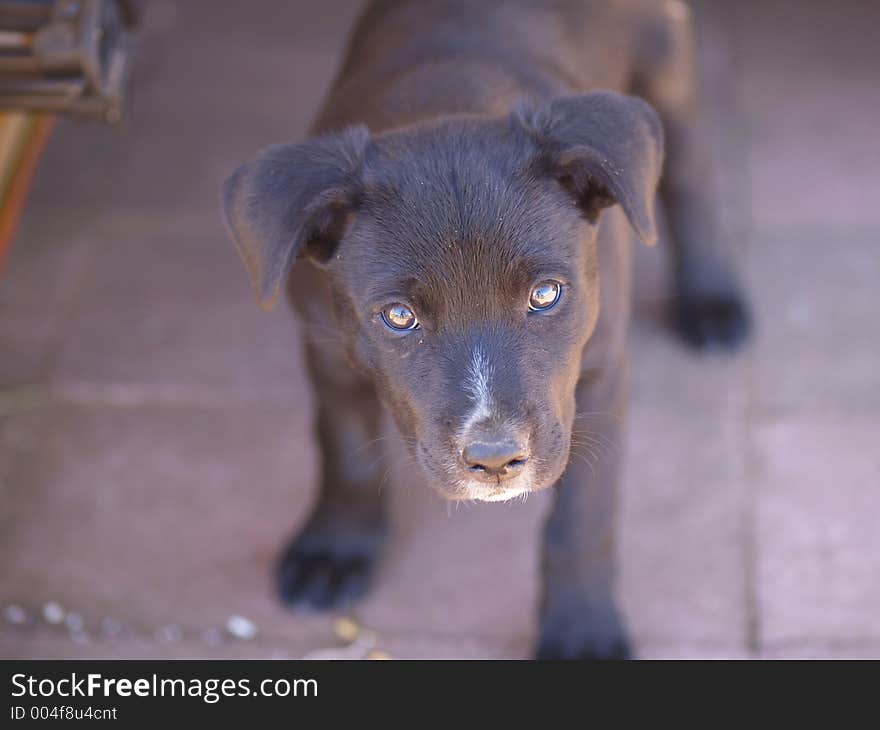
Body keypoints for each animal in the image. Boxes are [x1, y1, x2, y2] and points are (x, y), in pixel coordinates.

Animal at [222, 0, 748, 656]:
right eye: (398, 317)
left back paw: (713, 298)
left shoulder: (596, 374)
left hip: (665, 56)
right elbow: (344, 451)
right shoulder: (326, 350)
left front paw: (582, 626)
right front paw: (335, 548)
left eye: (545, 295)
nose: (495, 459)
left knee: (689, 170)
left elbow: (583, 516)